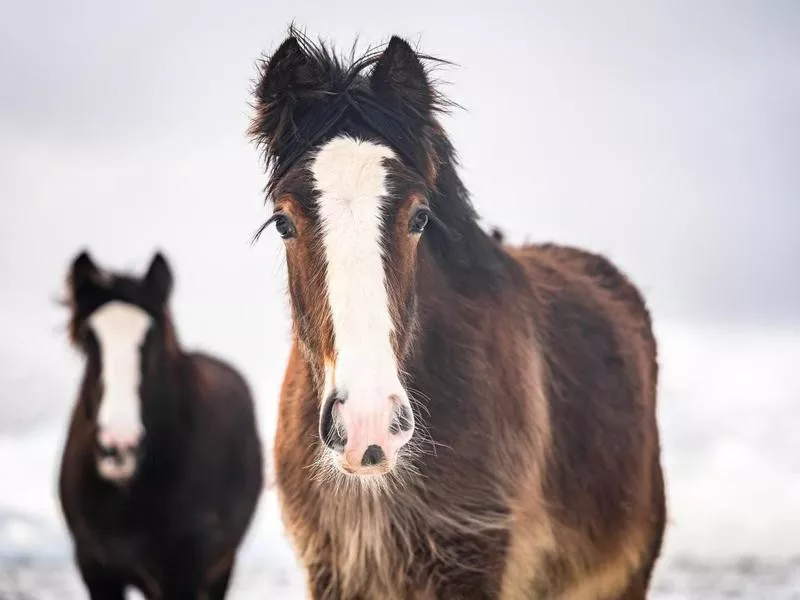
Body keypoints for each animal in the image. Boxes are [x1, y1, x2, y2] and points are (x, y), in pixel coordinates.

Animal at [57, 251, 262, 596]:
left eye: (150, 339)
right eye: (88, 340)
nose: (119, 447)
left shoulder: (185, 574)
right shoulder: (95, 568)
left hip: (221, 567)